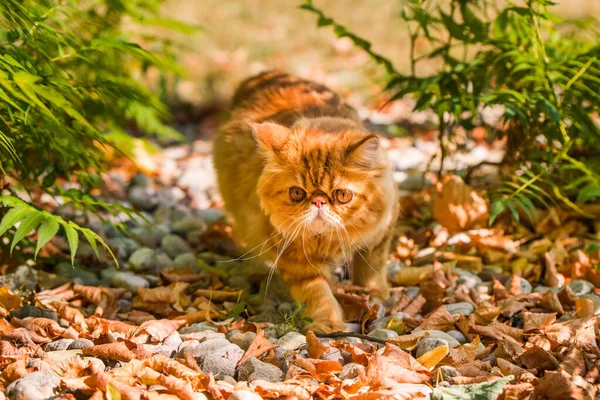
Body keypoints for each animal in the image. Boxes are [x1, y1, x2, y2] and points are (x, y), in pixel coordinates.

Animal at [214, 70, 398, 332]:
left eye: (342, 195)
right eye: (297, 193)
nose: (319, 202)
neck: (326, 241)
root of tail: (263, 75)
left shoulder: (381, 231)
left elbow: (372, 266)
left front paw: (375, 293)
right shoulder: (296, 259)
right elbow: (317, 293)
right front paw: (328, 324)